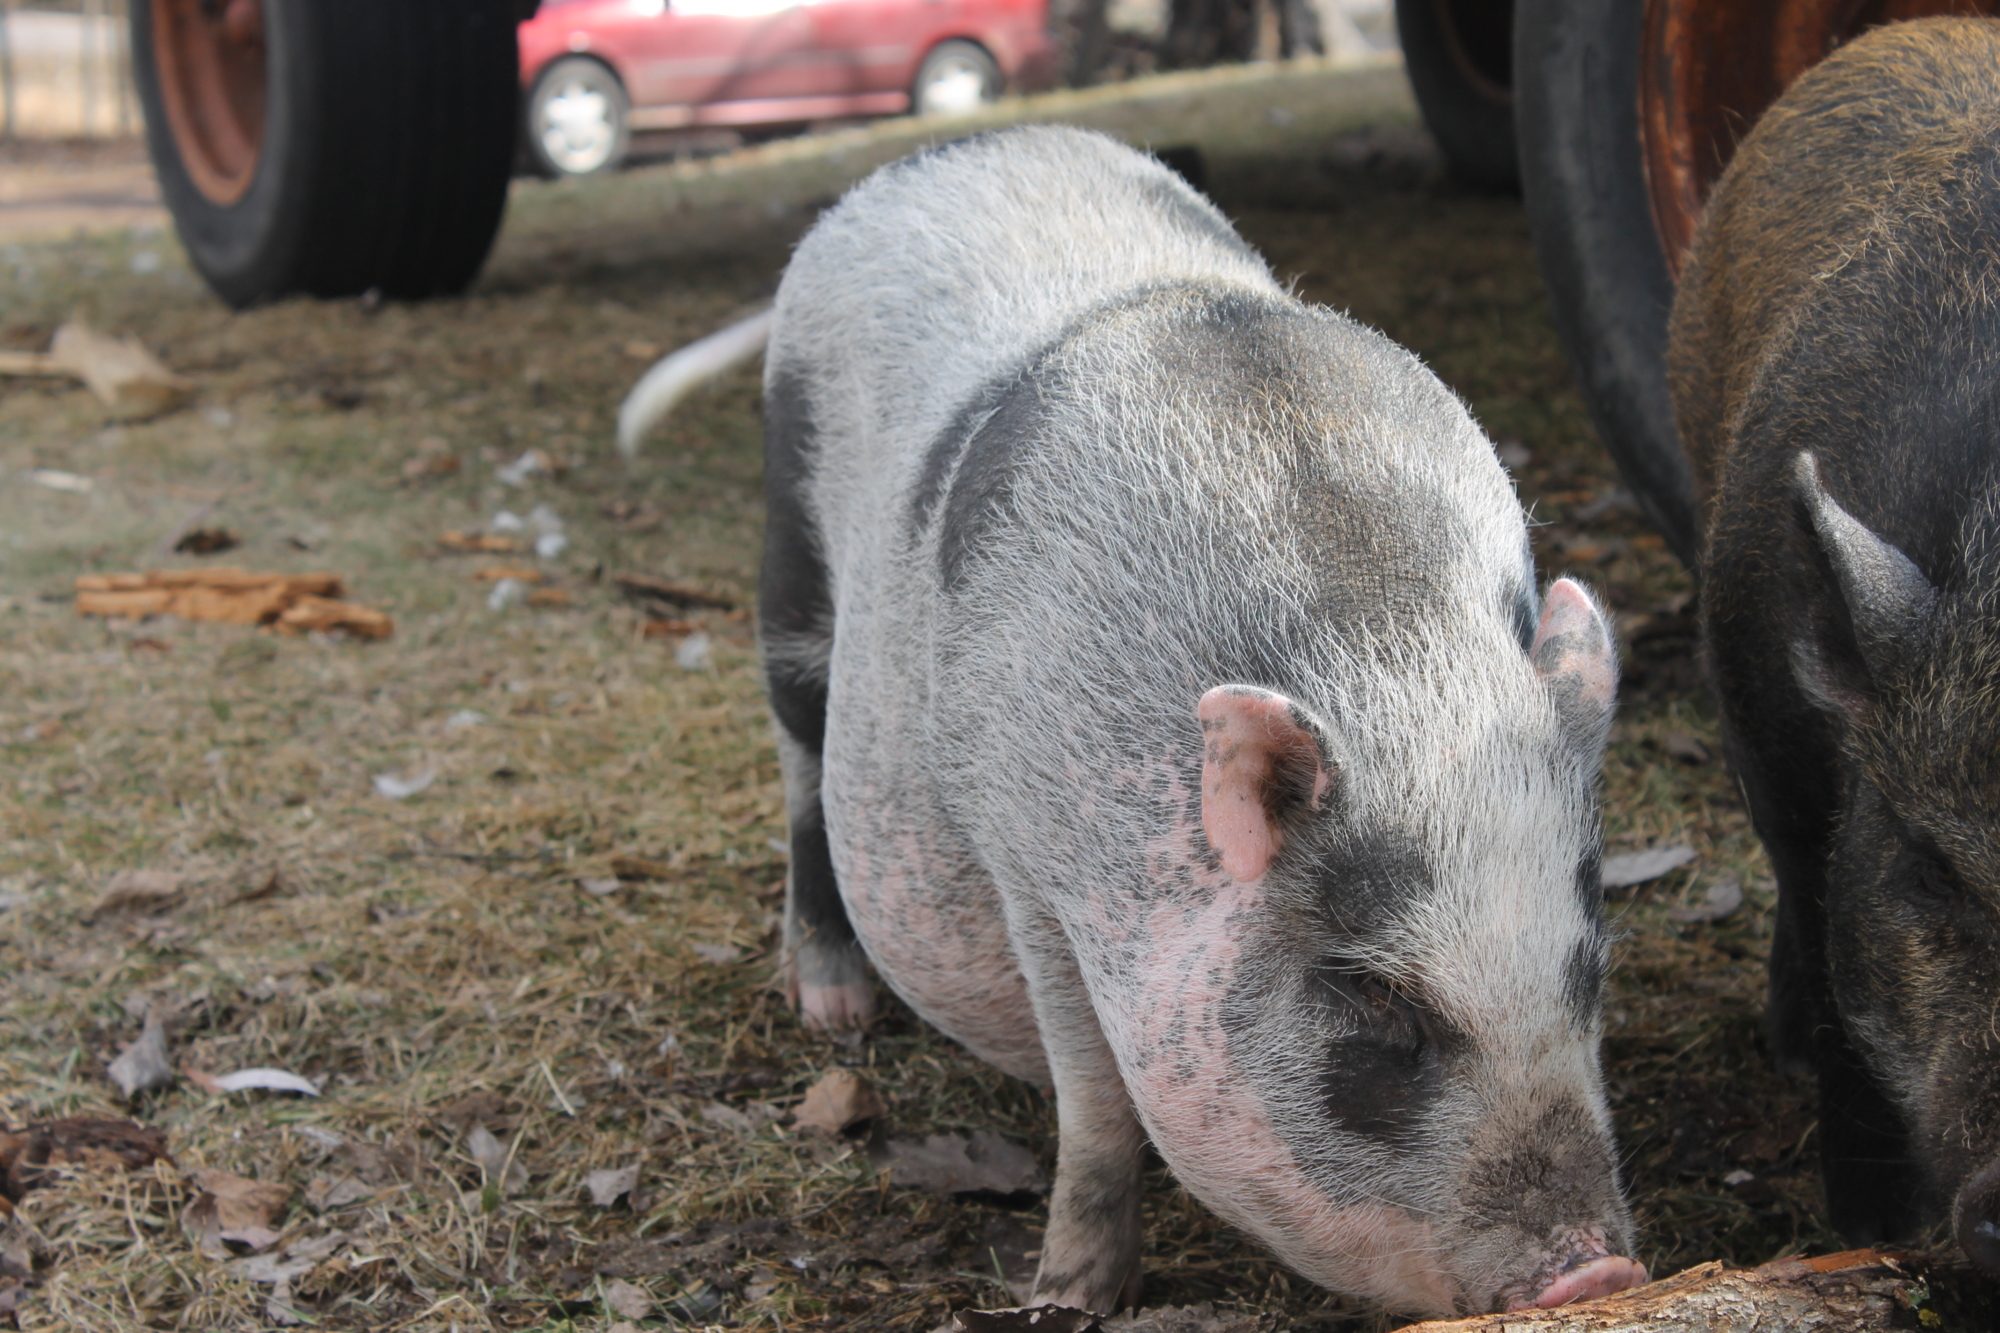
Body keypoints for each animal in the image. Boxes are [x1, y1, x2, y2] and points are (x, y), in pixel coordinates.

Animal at [632, 127, 1648, 1320]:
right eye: (1373, 993)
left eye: (1588, 969)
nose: (1597, 1270)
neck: (1397, 669)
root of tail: (943, 154)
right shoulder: (1029, 875)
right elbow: (1097, 1111)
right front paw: (1066, 1298)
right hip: (787, 556)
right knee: (798, 759)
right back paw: (835, 1011)